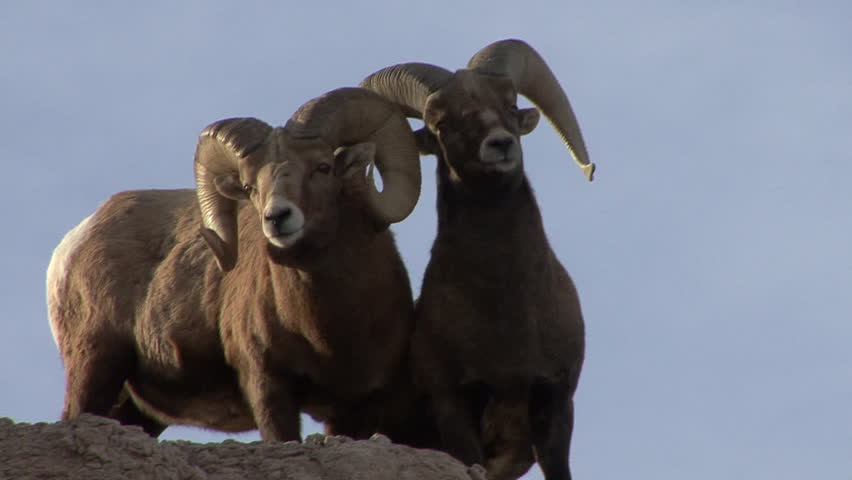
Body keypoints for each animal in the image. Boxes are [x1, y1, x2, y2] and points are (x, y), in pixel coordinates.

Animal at [46, 87, 424, 442]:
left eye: (323, 168)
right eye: (250, 186)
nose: (277, 218)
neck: (329, 330)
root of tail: (74, 242)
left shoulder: (356, 406)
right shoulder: (267, 385)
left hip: (136, 407)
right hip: (95, 363)